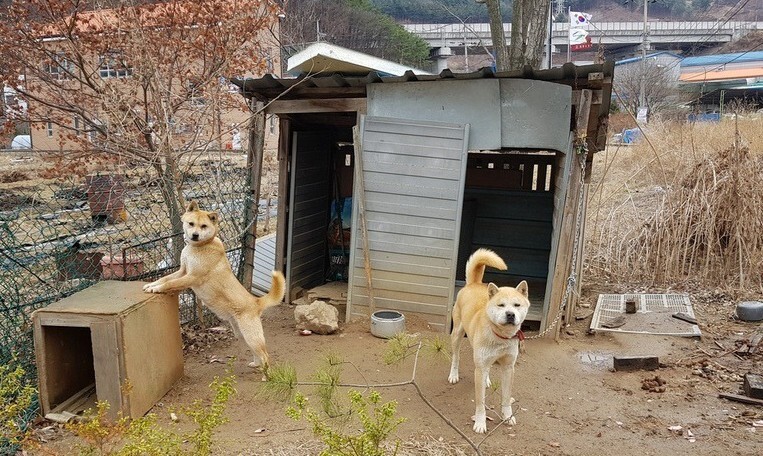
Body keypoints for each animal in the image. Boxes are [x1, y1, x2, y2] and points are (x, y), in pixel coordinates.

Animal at [144, 201, 286, 372]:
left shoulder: (191, 277)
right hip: (241, 335)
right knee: (258, 353)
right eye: (191, 224)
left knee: (266, 355)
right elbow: (165, 278)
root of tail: (256, 301)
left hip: (251, 336)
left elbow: (169, 283)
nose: (195, 235)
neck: (199, 247)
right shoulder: (182, 271)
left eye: (203, 226)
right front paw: (151, 285)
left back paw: (267, 374)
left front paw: (156, 289)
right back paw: (256, 364)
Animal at [448, 248, 532, 432]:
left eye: (517, 305)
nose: (510, 314)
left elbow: (506, 398)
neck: (501, 337)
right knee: (456, 357)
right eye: (501, 305)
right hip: (457, 335)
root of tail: (473, 284)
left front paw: (508, 417)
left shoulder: (508, 368)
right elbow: (480, 403)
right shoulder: (479, 369)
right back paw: (453, 375)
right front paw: (480, 423)